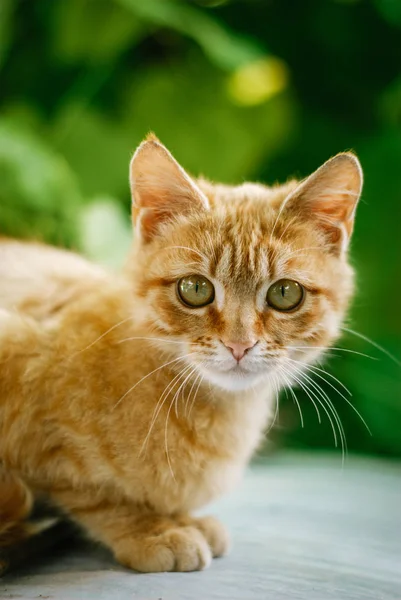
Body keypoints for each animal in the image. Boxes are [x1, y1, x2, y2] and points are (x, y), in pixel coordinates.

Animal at [0, 135, 360, 572]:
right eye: (195, 288)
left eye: (285, 293)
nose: (239, 344)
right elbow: (90, 491)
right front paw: (148, 528)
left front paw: (181, 519)